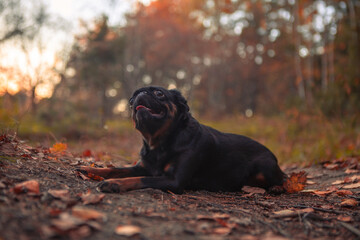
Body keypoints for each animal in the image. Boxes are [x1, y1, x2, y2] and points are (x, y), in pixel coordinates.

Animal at [76, 86, 286, 193]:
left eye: (159, 93)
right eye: (130, 101)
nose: (139, 95)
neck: (160, 142)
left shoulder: (173, 180)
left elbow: (141, 179)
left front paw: (115, 184)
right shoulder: (141, 167)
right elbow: (117, 169)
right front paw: (90, 169)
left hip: (264, 168)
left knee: (282, 179)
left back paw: (275, 187)